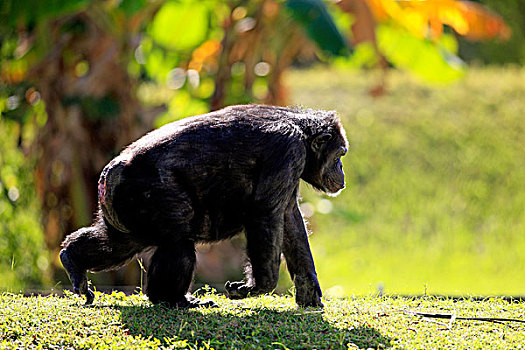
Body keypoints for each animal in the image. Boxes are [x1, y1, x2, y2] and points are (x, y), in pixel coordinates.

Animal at [59, 103, 348, 306]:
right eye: (339, 154)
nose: (341, 169)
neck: (301, 130)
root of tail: (110, 174)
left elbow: (290, 219)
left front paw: (309, 289)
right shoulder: (287, 151)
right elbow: (266, 214)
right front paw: (257, 287)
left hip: (123, 211)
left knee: (116, 244)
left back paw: (73, 259)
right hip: (149, 194)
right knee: (178, 245)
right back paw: (173, 299)